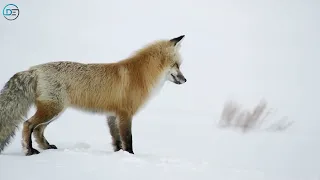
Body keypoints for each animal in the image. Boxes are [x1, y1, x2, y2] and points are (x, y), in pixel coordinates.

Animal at [0, 34, 188, 155]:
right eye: (177, 65)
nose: (185, 80)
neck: (141, 75)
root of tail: (34, 69)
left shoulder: (112, 115)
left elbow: (117, 141)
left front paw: (118, 156)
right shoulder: (125, 114)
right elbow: (128, 140)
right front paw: (130, 157)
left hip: (55, 111)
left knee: (38, 130)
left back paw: (46, 148)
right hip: (52, 110)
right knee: (27, 125)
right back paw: (29, 151)